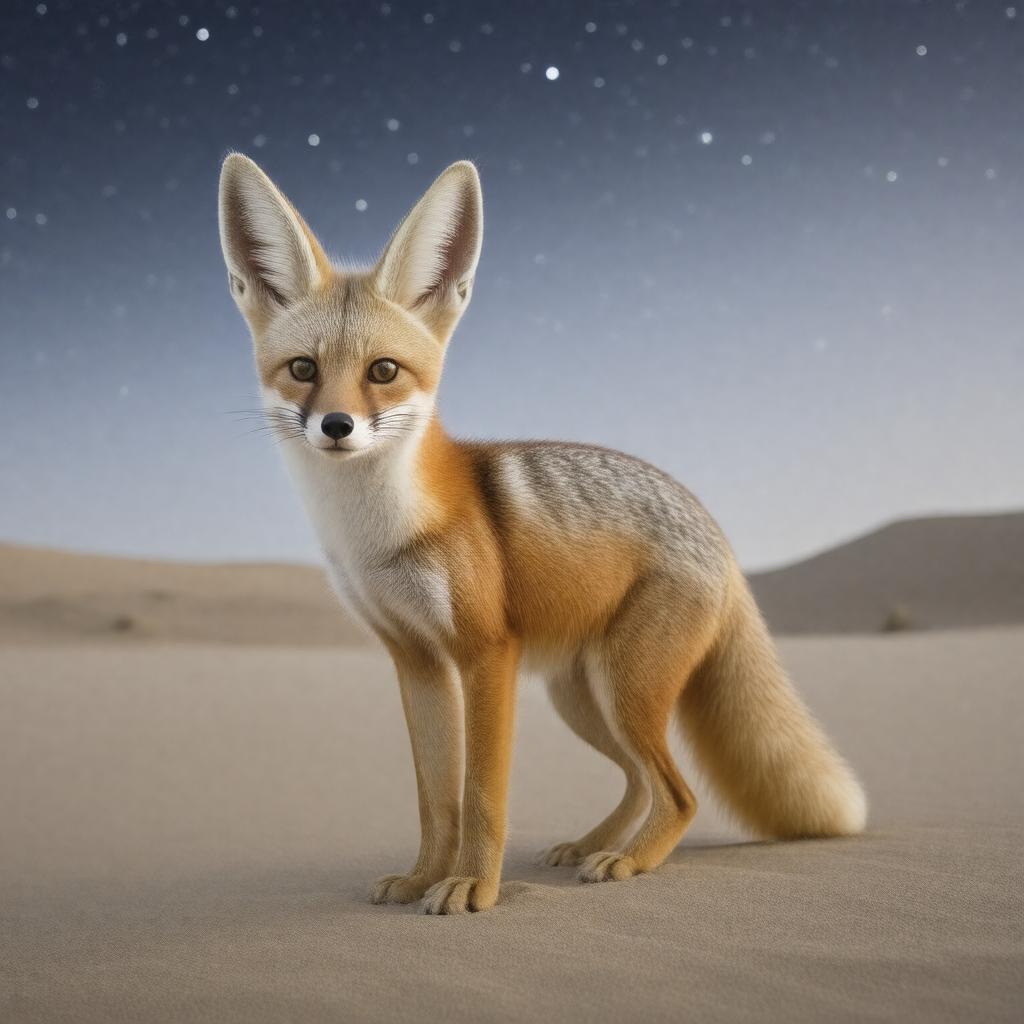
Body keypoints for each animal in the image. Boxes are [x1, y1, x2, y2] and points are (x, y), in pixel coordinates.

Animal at [217, 153, 867, 914]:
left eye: (382, 371)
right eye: (303, 369)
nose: (337, 426)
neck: (375, 537)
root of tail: (715, 531)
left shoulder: (486, 653)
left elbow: (481, 795)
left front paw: (473, 886)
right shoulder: (416, 661)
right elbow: (435, 798)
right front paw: (422, 877)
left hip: (624, 692)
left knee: (679, 793)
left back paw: (627, 861)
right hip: (580, 699)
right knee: (640, 782)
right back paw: (590, 845)